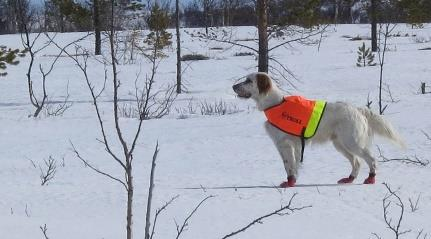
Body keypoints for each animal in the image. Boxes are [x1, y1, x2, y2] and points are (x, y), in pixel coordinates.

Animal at [233, 72, 404, 188]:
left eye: (249, 80)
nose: (234, 86)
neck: (276, 104)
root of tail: (358, 109)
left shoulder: (289, 144)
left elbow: (290, 165)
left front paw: (290, 183)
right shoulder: (288, 145)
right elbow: (291, 165)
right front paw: (291, 181)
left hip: (352, 142)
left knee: (370, 159)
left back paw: (370, 179)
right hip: (340, 144)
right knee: (356, 162)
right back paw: (349, 179)